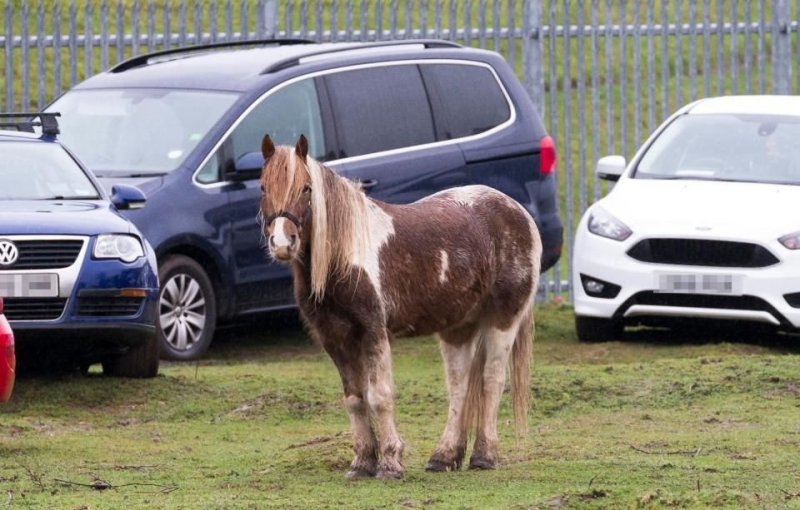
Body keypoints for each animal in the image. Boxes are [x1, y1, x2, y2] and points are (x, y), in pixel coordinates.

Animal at [260, 134, 540, 478]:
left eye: (306, 188)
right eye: (262, 186)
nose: (282, 243)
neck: (345, 255)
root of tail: (517, 211)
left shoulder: (374, 331)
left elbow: (380, 396)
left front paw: (391, 463)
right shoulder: (334, 338)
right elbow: (355, 399)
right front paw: (362, 463)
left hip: (503, 319)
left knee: (491, 380)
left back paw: (484, 456)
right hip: (457, 328)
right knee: (459, 386)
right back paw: (444, 457)